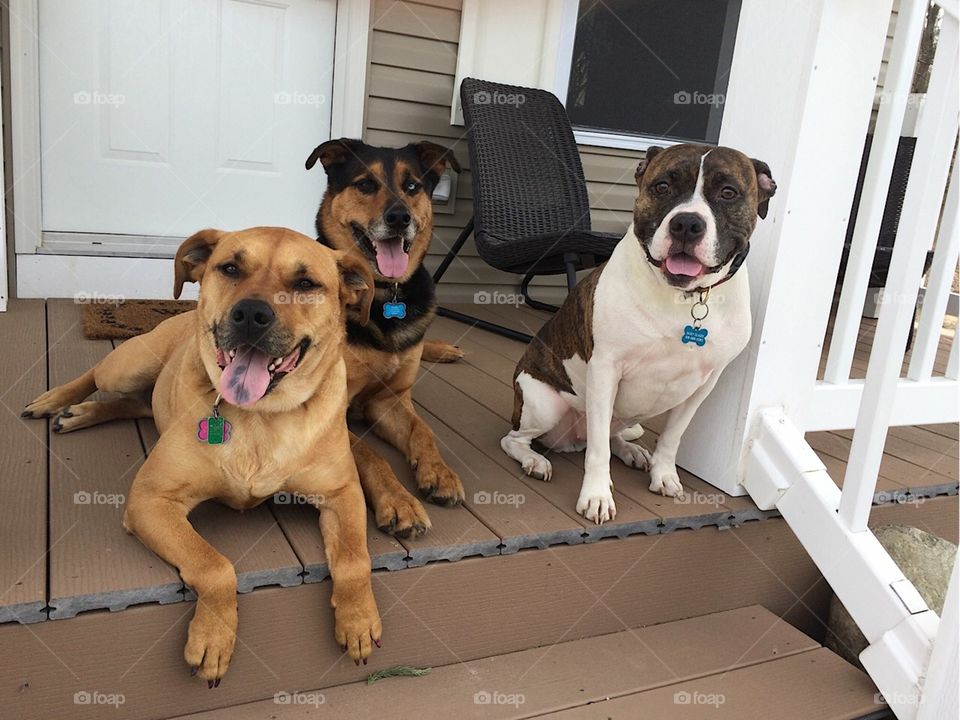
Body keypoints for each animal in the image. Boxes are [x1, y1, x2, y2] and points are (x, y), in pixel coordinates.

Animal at [23, 228, 382, 684]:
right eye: (230, 268)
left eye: (305, 283)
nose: (251, 313)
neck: (260, 418)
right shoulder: (151, 500)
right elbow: (214, 565)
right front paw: (214, 634)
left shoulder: (343, 493)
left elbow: (354, 558)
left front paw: (358, 619)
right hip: (128, 366)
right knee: (98, 376)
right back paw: (59, 400)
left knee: (132, 404)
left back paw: (82, 413)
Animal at [304, 138, 462, 536]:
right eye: (365, 184)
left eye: (412, 186)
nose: (399, 218)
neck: (384, 295)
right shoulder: (335, 414)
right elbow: (371, 455)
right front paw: (399, 501)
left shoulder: (390, 399)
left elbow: (423, 430)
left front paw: (439, 472)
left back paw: (444, 349)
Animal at [498, 143, 776, 524]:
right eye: (662, 187)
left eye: (728, 192)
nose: (687, 223)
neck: (683, 297)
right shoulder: (605, 369)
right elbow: (598, 452)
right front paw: (596, 496)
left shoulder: (704, 384)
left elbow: (673, 436)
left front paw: (664, 474)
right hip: (543, 405)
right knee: (518, 440)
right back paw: (534, 460)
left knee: (608, 435)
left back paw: (631, 450)